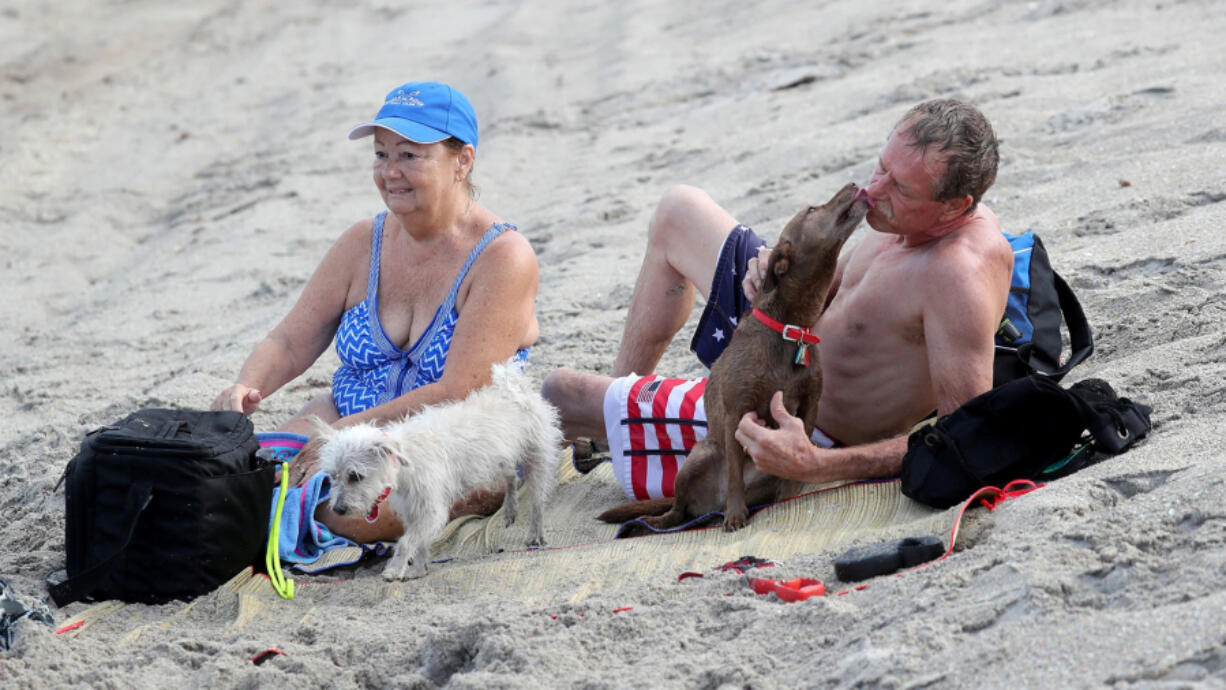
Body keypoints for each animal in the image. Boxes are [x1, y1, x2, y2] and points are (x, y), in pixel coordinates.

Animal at [316, 362, 563, 583]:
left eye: (356, 476)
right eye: (332, 476)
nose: (338, 509)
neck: (406, 460)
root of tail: (518, 389)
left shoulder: (429, 510)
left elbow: (407, 541)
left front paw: (395, 570)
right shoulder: (414, 510)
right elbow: (421, 543)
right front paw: (419, 570)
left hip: (537, 460)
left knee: (537, 502)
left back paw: (536, 535)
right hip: (499, 461)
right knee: (512, 477)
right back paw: (510, 509)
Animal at [595, 183, 868, 534]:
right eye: (811, 210)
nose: (852, 185)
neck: (790, 330)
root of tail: (709, 504)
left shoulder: (809, 407)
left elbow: (798, 456)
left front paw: (789, 496)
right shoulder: (737, 412)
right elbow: (736, 474)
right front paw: (736, 514)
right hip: (699, 456)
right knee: (677, 510)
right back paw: (663, 519)